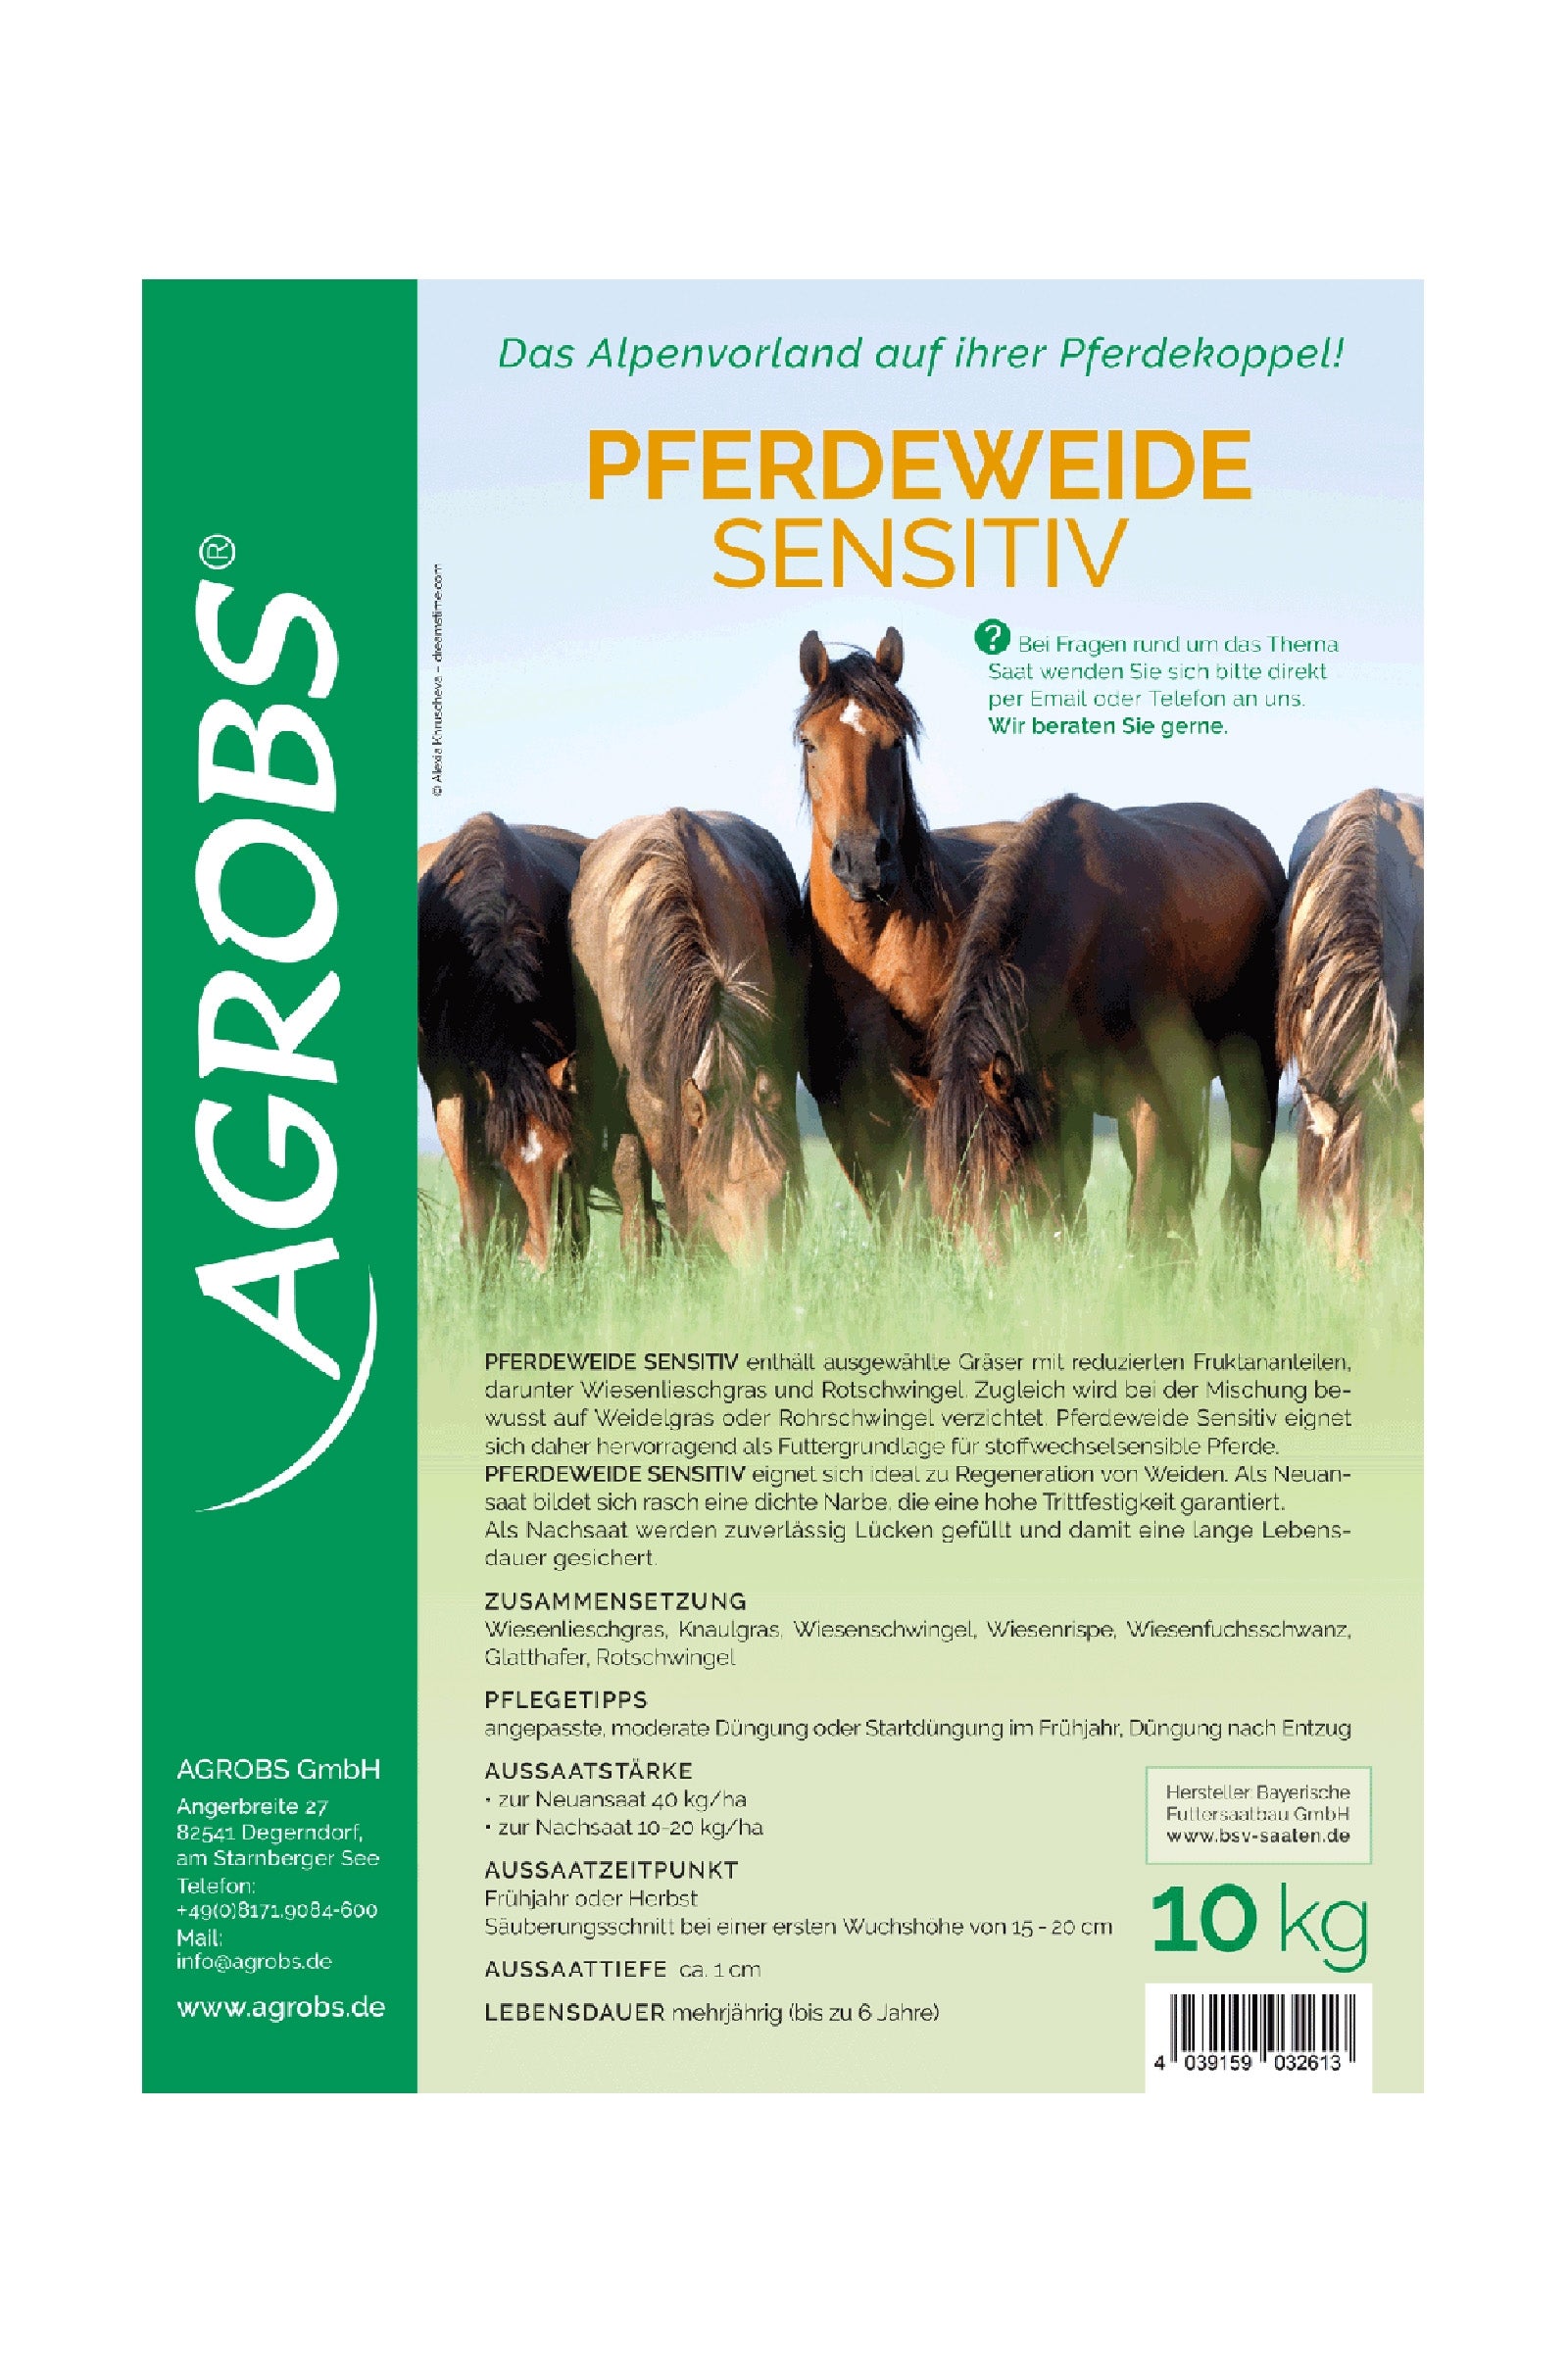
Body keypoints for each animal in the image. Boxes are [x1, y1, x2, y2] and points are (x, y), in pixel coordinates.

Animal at [913, 794, 1285, 1259]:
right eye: (943, 1189)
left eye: (1005, 1169)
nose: (993, 1269)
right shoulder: (1056, 1108)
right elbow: (1069, 1212)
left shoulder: (1149, 1103)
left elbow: (1142, 1221)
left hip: (1252, 1076)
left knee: (1241, 1188)